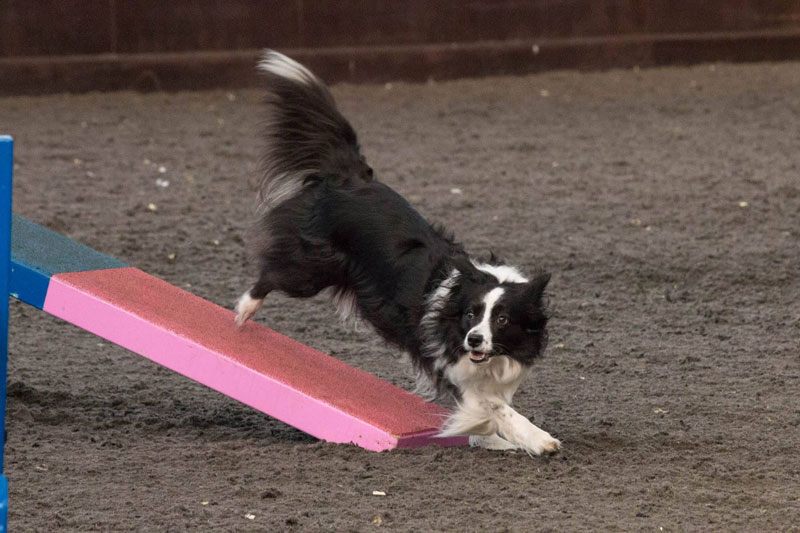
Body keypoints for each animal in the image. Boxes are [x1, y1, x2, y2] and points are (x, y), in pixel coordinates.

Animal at [234, 52, 560, 456]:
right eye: (471, 314)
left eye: (501, 319)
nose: (473, 339)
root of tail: (352, 179)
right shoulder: (451, 368)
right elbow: (495, 409)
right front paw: (537, 439)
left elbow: (494, 407)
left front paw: (493, 439)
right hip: (310, 269)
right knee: (271, 275)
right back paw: (243, 311)